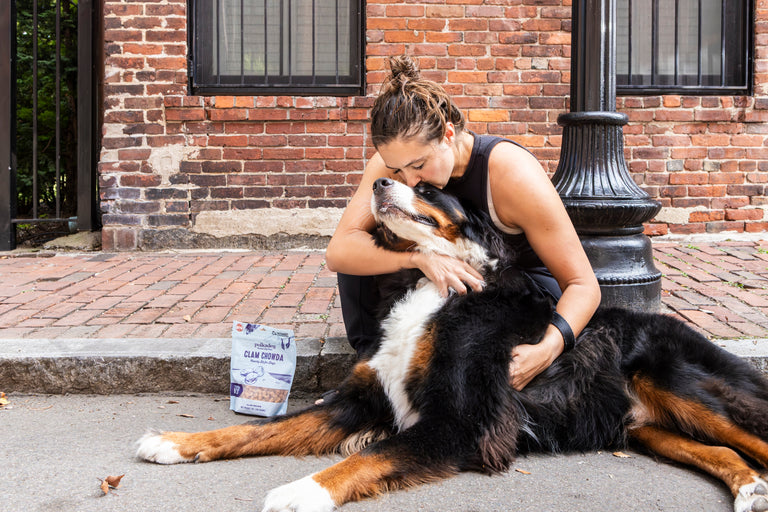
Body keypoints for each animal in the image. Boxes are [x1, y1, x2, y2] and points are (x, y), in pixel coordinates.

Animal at [137, 178, 768, 512]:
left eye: (427, 189)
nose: (379, 181)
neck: (433, 287)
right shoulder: (362, 399)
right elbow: (259, 429)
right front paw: (175, 442)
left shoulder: (462, 421)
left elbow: (366, 457)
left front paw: (299, 492)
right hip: (645, 424)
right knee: (726, 452)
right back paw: (752, 489)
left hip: (682, 387)